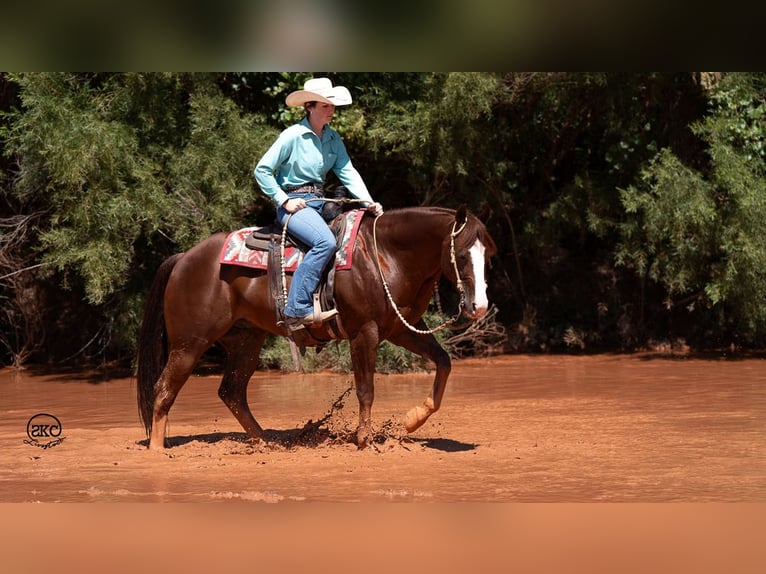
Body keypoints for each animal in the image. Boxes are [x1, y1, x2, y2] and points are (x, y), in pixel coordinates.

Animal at [136, 205, 498, 452]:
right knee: (164, 390)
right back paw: (157, 451)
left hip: (246, 341)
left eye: (488, 256)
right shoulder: (364, 333)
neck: (384, 255)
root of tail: (184, 258)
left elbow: (444, 363)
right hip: (190, 343)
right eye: (461, 255)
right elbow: (366, 389)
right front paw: (364, 439)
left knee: (232, 392)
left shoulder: (401, 330)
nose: (478, 306)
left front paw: (414, 418)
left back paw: (267, 442)